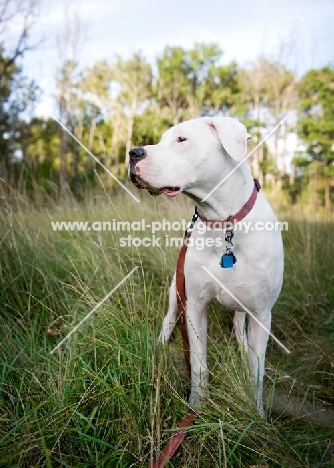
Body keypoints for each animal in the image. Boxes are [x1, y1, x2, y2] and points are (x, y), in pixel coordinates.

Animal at [129, 116, 284, 414]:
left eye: (181, 139)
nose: (132, 153)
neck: (222, 222)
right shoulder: (195, 307)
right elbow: (199, 366)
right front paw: (197, 406)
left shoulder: (262, 313)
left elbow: (257, 372)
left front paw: (257, 412)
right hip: (175, 290)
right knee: (168, 318)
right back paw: (159, 344)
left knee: (238, 321)